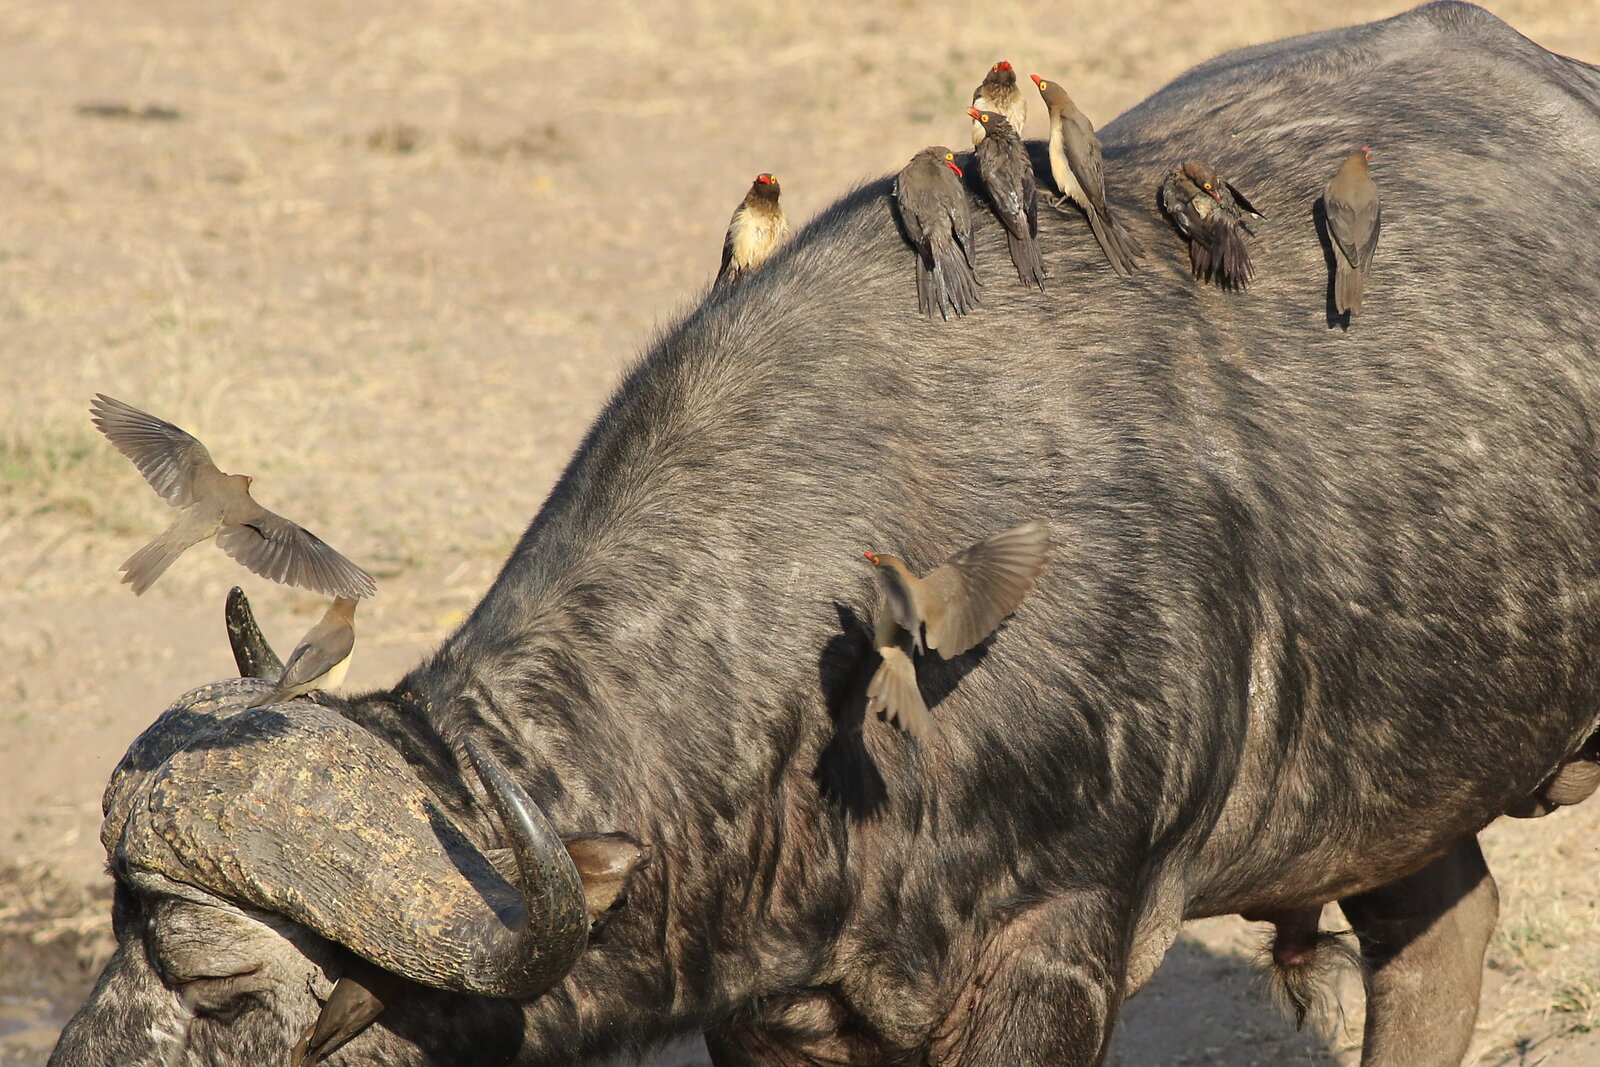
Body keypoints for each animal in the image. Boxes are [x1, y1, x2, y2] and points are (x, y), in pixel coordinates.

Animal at [50, 3, 1600, 1065]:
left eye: (218, 982)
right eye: (109, 935)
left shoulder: (1055, 954)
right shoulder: (775, 1001)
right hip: (1406, 768)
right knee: (1440, 929)